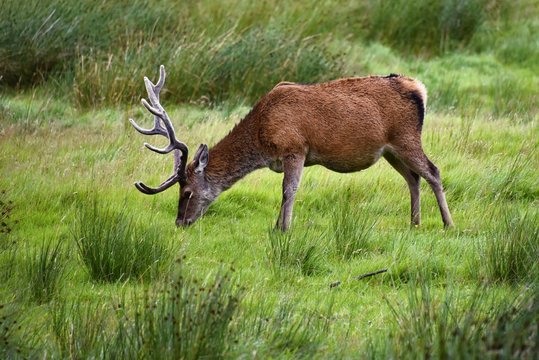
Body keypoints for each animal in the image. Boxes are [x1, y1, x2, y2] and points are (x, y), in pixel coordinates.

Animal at [131, 66, 456, 232]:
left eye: (187, 192)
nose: (180, 222)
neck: (261, 135)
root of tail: (420, 88)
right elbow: (287, 190)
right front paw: (278, 225)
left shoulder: (295, 147)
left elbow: (289, 190)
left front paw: (283, 228)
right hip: (390, 150)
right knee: (413, 177)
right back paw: (414, 222)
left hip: (406, 137)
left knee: (434, 171)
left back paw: (448, 223)